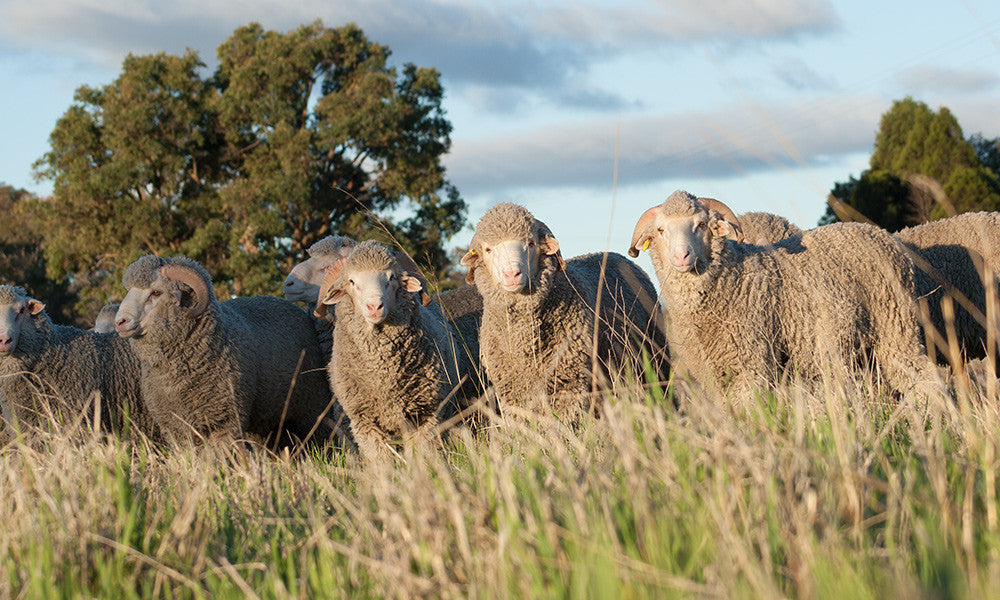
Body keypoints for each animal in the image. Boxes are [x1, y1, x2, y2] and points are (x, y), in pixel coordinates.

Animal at [316, 239, 480, 460]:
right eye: (351, 281)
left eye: (391, 277)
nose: (374, 306)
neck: (384, 376)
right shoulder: (363, 423)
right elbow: (380, 459)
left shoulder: (428, 414)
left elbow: (423, 454)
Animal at [628, 188, 932, 394]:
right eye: (661, 229)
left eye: (701, 224)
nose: (681, 256)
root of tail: (879, 232)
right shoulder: (713, 378)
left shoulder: (751, 365)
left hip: (896, 328)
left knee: (922, 376)